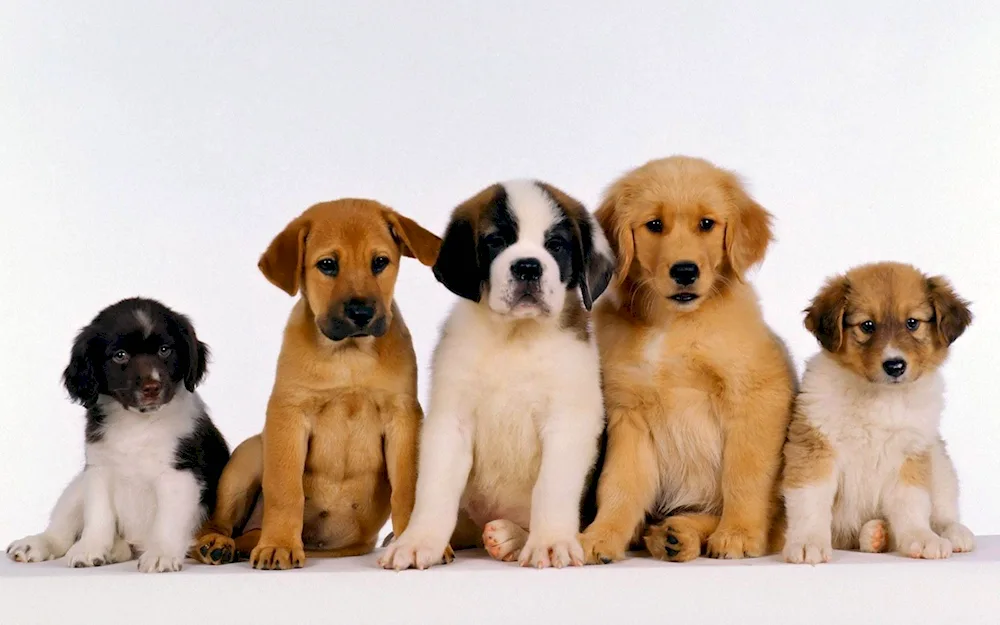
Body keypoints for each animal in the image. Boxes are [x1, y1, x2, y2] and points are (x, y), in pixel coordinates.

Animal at [6, 298, 229, 572]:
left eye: (165, 350)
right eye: (120, 356)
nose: (152, 387)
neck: (137, 425)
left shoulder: (180, 474)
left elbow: (168, 520)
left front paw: (162, 553)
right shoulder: (99, 469)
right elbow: (98, 515)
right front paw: (90, 548)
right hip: (77, 487)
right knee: (61, 530)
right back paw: (36, 544)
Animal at [190, 200, 438, 572]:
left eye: (380, 262)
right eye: (327, 265)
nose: (361, 312)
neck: (348, 356)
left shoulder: (403, 417)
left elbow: (407, 489)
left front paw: (413, 543)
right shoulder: (288, 414)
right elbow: (285, 489)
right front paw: (278, 545)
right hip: (249, 455)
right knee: (217, 522)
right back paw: (218, 544)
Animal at [382, 178, 616, 568]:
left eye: (556, 245)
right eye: (496, 241)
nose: (528, 267)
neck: (514, 337)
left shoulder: (569, 421)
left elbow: (552, 486)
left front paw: (549, 541)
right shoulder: (450, 422)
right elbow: (435, 488)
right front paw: (418, 541)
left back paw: (512, 537)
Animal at [580, 155, 796, 560]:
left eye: (706, 224)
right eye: (654, 225)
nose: (684, 271)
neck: (673, 326)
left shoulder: (757, 397)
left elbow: (743, 474)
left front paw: (739, 533)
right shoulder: (628, 415)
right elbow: (619, 486)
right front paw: (601, 535)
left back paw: (683, 533)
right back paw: (670, 536)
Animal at [780, 260, 976, 564]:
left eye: (912, 323)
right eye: (867, 325)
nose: (894, 366)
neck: (880, 398)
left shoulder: (911, 454)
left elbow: (912, 503)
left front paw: (921, 538)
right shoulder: (815, 446)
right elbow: (811, 501)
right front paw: (807, 542)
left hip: (939, 461)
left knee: (943, 510)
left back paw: (952, 533)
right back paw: (874, 534)